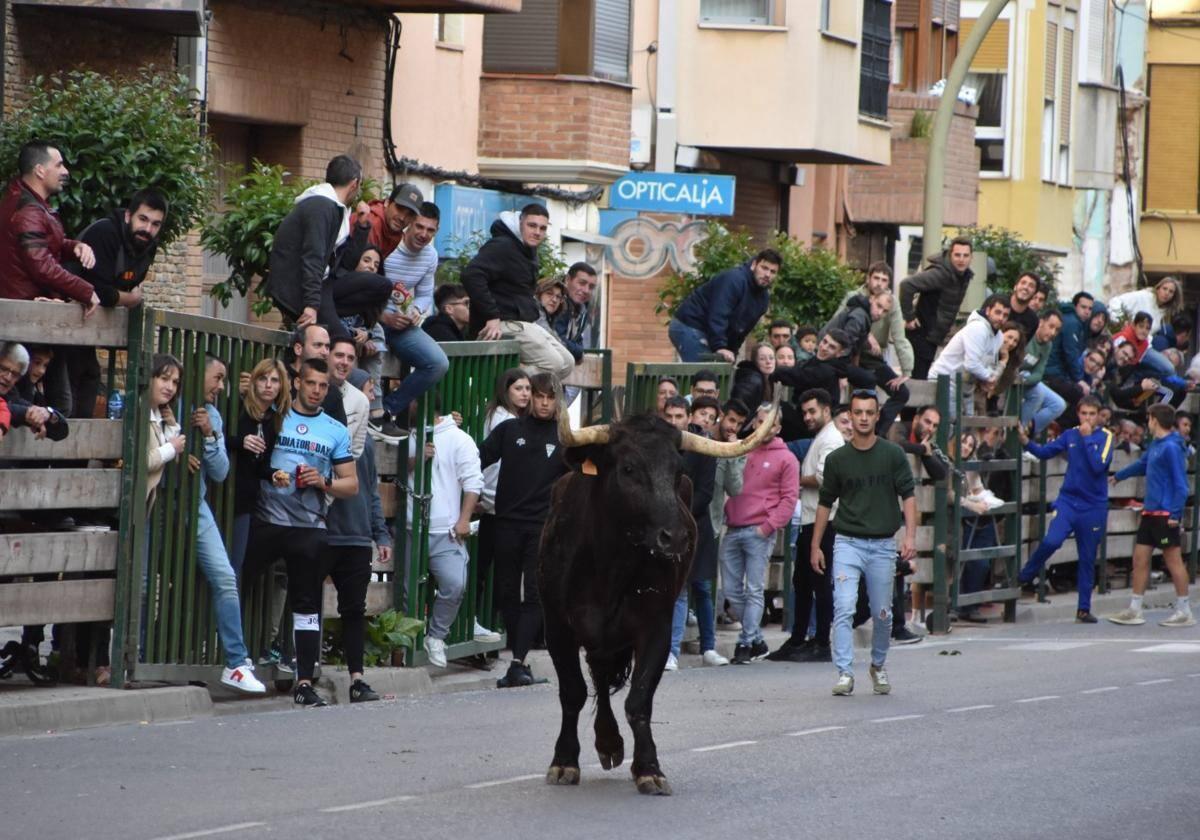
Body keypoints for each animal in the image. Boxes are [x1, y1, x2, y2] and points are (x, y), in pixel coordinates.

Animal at [537, 405, 777, 792]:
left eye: (677, 472)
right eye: (628, 468)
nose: (675, 537)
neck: (607, 565)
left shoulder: (657, 629)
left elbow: (639, 699)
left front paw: (648, 767)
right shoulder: (558, 627)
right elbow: (572, 692)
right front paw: (564, 762)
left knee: (604, 677)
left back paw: (610, 742)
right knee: (598, 678)